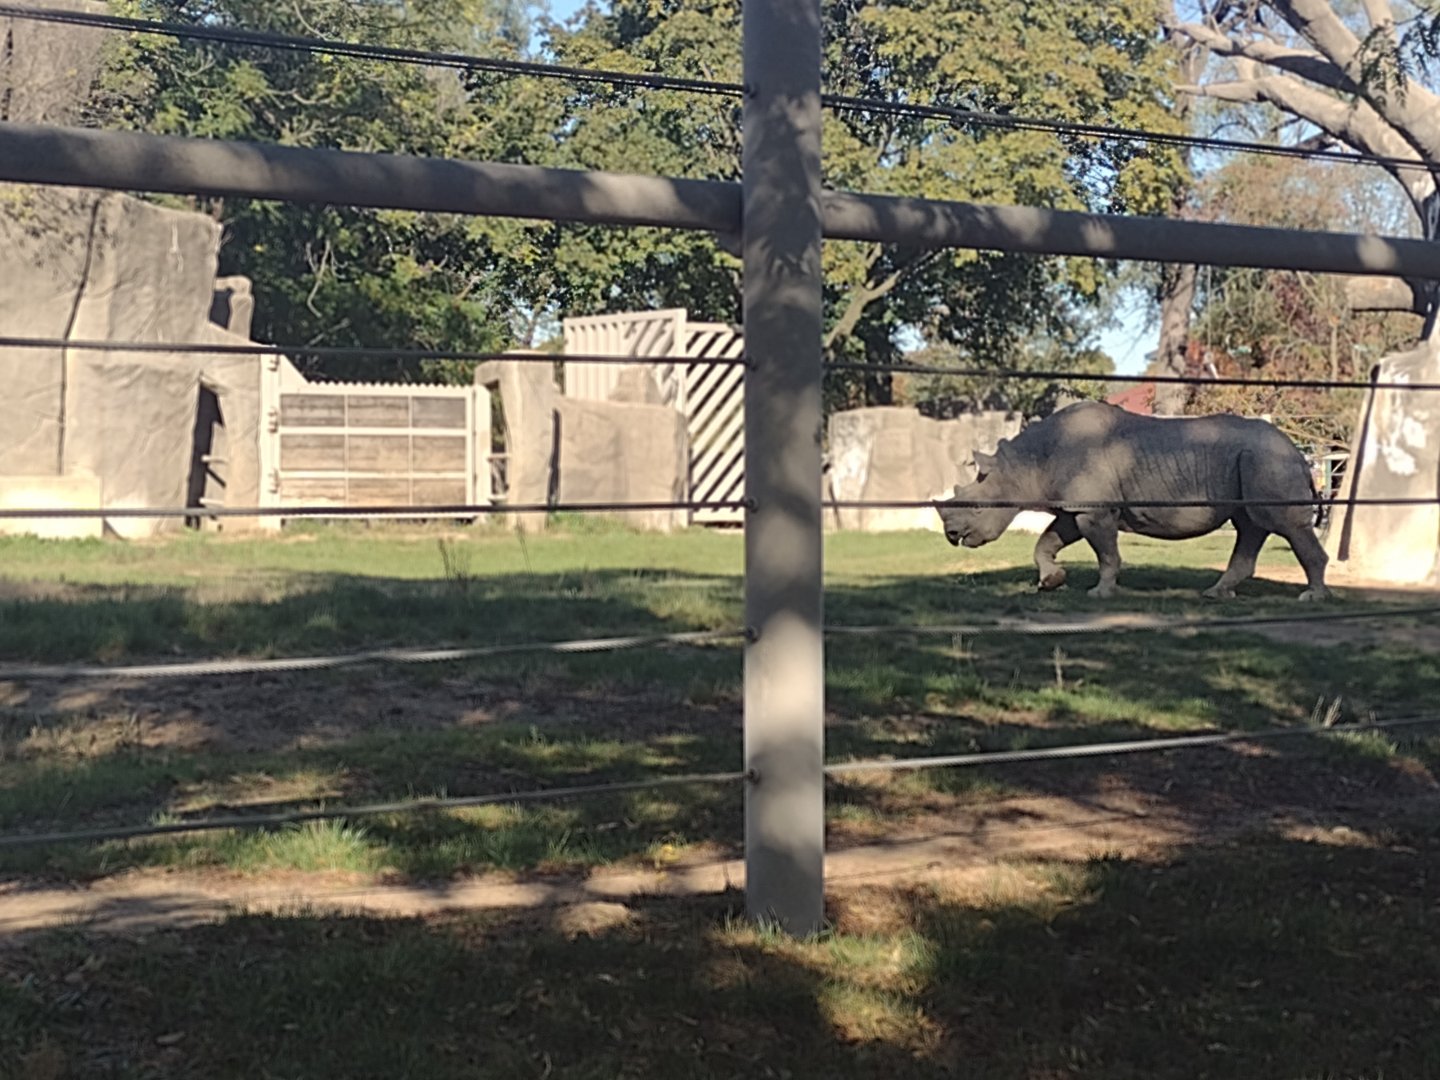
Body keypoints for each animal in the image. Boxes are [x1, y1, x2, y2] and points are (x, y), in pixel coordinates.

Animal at [933, 400, 1329, 601]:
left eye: (976, 507)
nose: (951, 536)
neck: (1024, 466)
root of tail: (1298, 451)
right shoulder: (1074, 506)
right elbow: (1047, 542)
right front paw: (1052, 582)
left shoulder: (1094, 509)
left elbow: (1106, 553)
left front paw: (1100, 593)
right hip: (1253, 462)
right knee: (1250, 525)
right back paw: (1215, 594)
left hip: (1267, 459)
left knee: (1283, 525)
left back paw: (1312, 598)